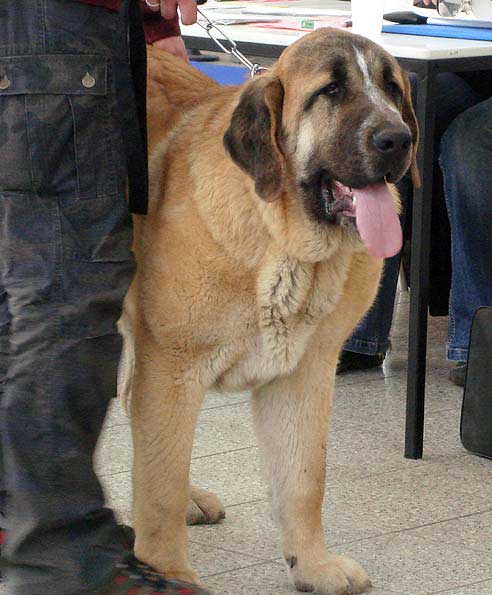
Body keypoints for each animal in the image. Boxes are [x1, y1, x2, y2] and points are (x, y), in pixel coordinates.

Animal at [119, 28, 418, 595]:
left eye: (392, 87)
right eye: (331, 91)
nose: (398, 139)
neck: (284, 243)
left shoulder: (305, 373)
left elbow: (304, 480)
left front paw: (313, 566)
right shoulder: (171, 368)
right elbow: (159, 483)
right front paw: (168, 572)